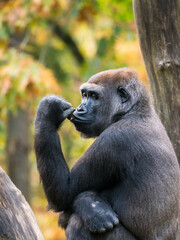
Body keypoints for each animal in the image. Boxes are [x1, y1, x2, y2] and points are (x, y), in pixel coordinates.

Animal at [34, 68, 180, 240]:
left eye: (94, 96)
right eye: (84, 94)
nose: (80, 108)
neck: (133, 111)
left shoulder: (115, 139)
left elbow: (64, 193)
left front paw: (49, 110)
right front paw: (93, 207)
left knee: (77, 222)